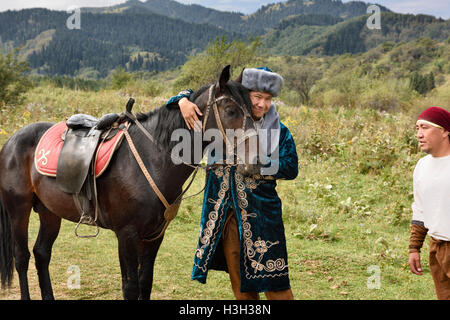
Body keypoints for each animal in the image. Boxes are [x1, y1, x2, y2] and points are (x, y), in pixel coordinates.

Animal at [0, 65, 258, 300]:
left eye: (255, 111)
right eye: (230, 110)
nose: (255, 161)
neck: (153, 157)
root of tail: (12, 140)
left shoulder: (155, 235)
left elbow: (145, 283)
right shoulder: (127, 235)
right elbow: (130, 287)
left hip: (50, 211)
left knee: (42, 253)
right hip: (19, 209)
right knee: (21, 257)